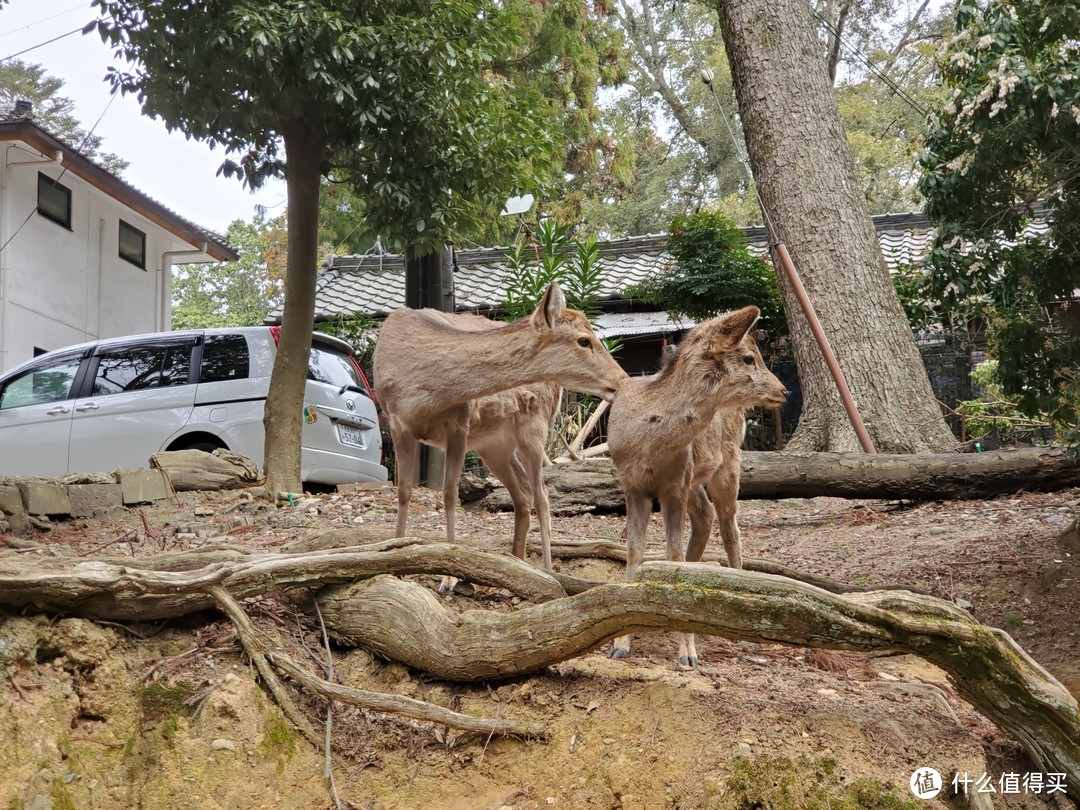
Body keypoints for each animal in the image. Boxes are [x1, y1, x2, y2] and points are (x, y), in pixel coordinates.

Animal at [373, 282, 626, 587]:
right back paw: (517, 561)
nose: (622, 379)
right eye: (584, 340)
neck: (424, 393)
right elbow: (404, 491)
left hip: (534, 428)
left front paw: (448, 575)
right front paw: (394, 558)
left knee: (542, 496)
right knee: (523, 494)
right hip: (494, 446)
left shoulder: (459, 424)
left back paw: (547, 570)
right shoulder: (396, 423)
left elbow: (449, 494)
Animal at [604, 306, 790, 669]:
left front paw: (687, 651)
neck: (647, 446)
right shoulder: (633, 485)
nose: (784, 391)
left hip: (726, 463)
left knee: (731, 528)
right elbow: (634, 553)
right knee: (705, 518)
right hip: (694, 480)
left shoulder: (675, 484)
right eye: (748, 358)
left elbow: (672, 553)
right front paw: (620, 642)